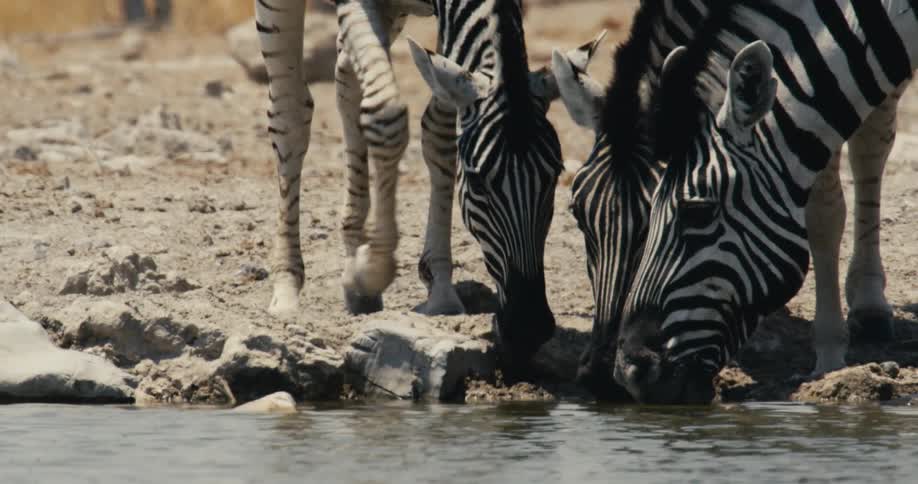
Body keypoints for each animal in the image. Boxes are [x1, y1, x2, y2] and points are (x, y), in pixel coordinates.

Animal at [554, 0, 916, 402]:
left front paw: (829, 351)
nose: (607, 376)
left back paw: (869, 305)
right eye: (578, 214)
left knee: (873, 144)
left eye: (697, 213)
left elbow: (825, 209)